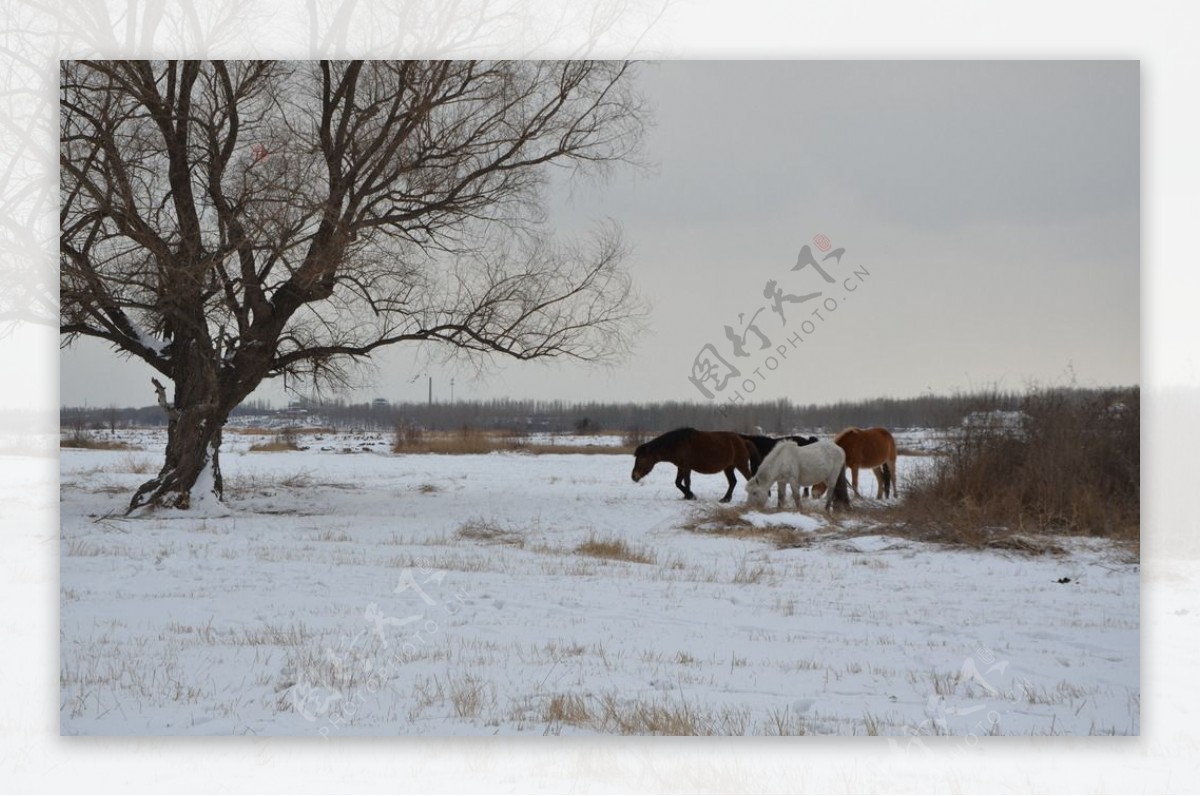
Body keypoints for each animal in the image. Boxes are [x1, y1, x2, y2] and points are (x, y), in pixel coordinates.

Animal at [628, 427, 758, 501]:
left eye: (641, 459)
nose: (634, 476)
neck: (677, 444)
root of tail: (743, 441)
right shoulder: (681, 467)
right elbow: (678, 483)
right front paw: (687, 496)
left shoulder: (686, 467)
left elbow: (686, 482)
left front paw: (690, 496)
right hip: (728, 467)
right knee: (733, 482)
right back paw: (725, 499)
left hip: (741, 465)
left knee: (749, 479)